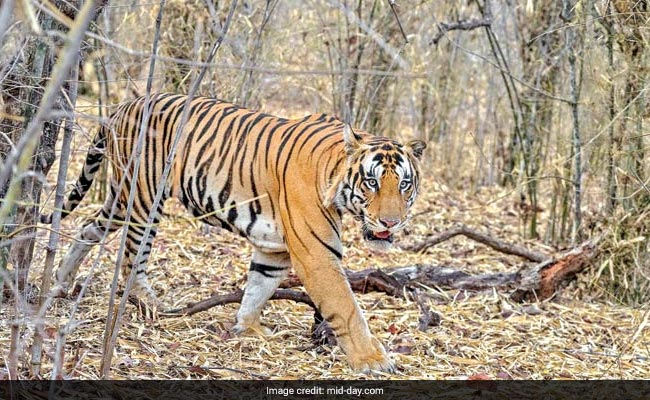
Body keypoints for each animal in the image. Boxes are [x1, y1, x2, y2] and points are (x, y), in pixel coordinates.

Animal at [41, 93, 426, 372]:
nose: (391, 222)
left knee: (89, 227)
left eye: (404, 184)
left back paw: (61, 280)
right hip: (143, 199)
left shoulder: (274, 249)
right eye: (372, 182)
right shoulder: (317, 255)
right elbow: (347, 309)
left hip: (119, 200)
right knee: (133, 255)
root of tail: (125, 104)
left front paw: (247, 328)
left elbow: (258, 287)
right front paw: (373, 360)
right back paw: (147, 304)